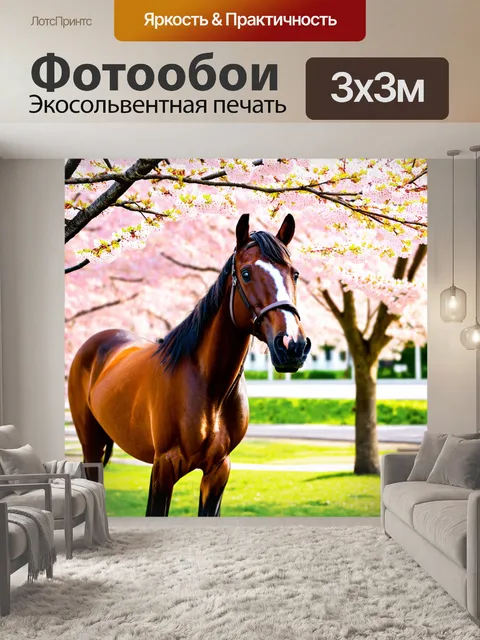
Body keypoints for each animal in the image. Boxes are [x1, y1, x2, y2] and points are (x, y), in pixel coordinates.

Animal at [68, 213, 311, 516]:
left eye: (295, 274)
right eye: (245, 274)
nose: (292, 346)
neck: (209, 390)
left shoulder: (218, 471)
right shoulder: (163, 467)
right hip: (90, 444)